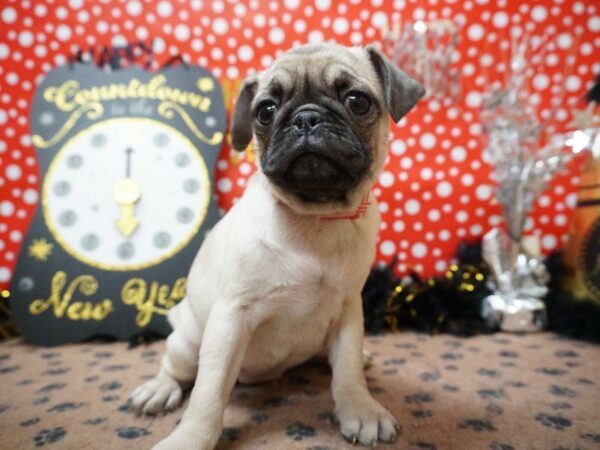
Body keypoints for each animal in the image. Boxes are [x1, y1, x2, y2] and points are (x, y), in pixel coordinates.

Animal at [129, 43, 424, 450]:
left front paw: (359, 409)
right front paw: (190, 438)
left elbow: (346, 368)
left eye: (357, 101)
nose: (306, 118)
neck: (315, 218)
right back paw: (159, 389)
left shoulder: (349, 310)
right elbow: (208, 392)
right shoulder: (230, 317)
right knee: (178, 369)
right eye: (265, 111)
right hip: (187, 343)